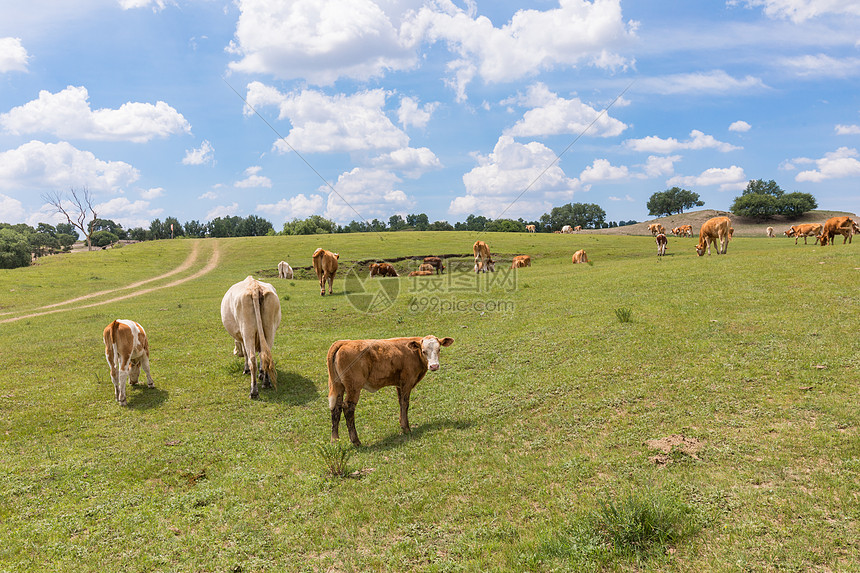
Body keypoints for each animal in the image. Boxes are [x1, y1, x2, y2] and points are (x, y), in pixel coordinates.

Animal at [328, 336, 456, 446]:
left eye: (439, 349)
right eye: (424, 351)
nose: (434, 366)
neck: (413, 354)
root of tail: (344, 342)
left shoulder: (399, 384)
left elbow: (400, 402)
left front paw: (401, 424)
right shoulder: (407, 382)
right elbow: (405, 403)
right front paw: (406, 428)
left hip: (339, 386)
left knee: (336, 408)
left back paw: (335, 440)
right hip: (354, 387)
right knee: (348, 408)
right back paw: (356, 441)